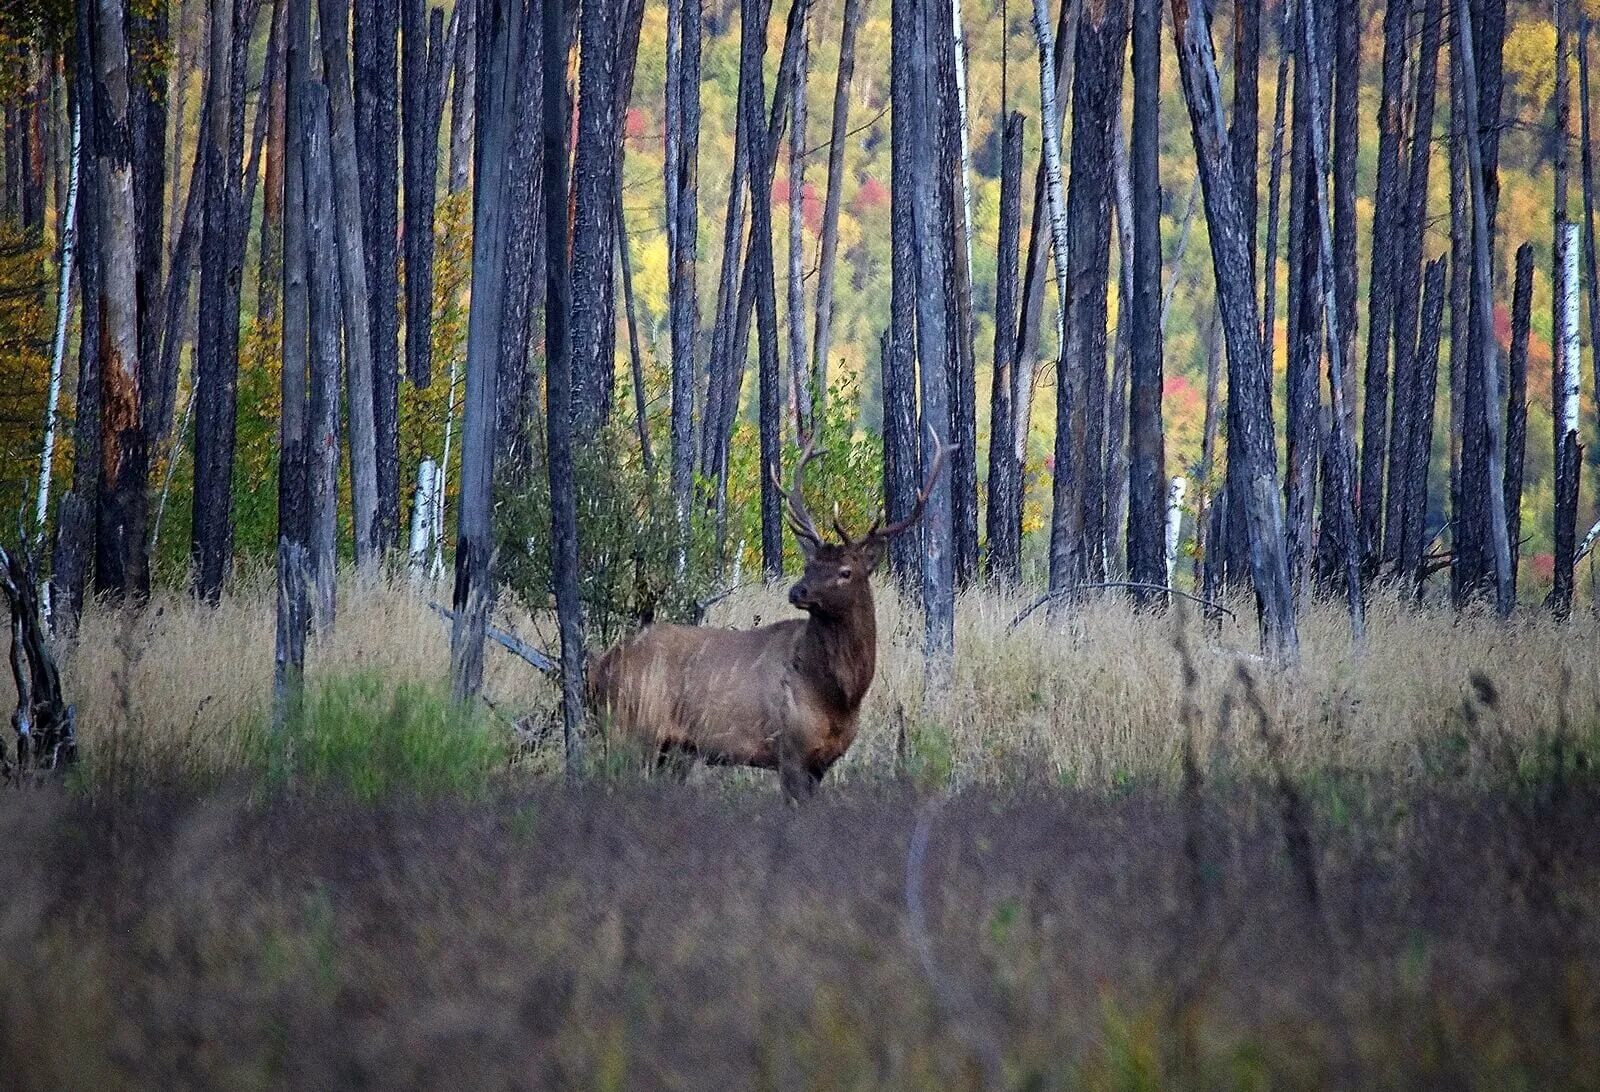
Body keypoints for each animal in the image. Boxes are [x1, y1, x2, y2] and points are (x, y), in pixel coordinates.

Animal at [588, 432, 947, 800]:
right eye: (809, 564)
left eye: (846, 572)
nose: (797, 591)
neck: (839, 696)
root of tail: (601, 667)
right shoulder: (789, 750)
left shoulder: (823, 762)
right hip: (629, 728)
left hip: (672, 749)